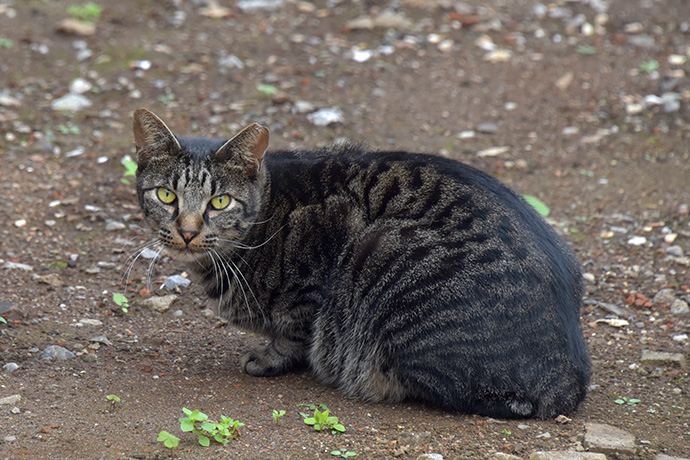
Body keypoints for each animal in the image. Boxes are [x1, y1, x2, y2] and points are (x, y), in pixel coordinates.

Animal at [132, 108, 588, 420]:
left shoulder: (317, 270)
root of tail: (569, 381)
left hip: (381, 249)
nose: (187, 231)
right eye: (167, 196)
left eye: (220, 201)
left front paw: (270, 357)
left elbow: (294, 330)